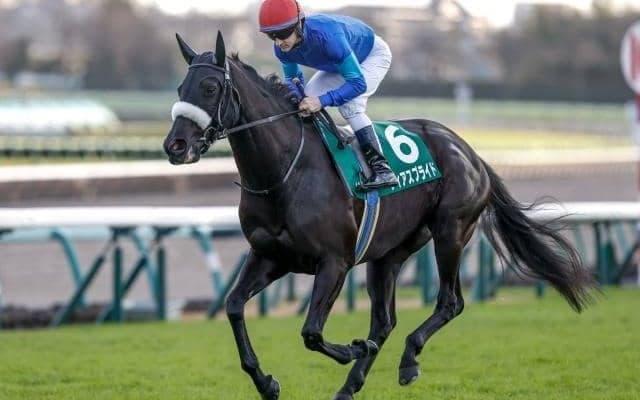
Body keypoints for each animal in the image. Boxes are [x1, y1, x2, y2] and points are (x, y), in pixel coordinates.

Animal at [163, 32, 593, 400]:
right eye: (181, 89)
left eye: (210, 88)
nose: (175, 146)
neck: (284, 172)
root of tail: (470, 152)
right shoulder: (270, 256)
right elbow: (234, 306)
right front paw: (267, 382)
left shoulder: (334, 261)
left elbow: (311, 332)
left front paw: (352, 349)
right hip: (389, 253)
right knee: (384, 321)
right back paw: (350, 385)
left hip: (451, 231)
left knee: (450, 302)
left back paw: (408, 360)